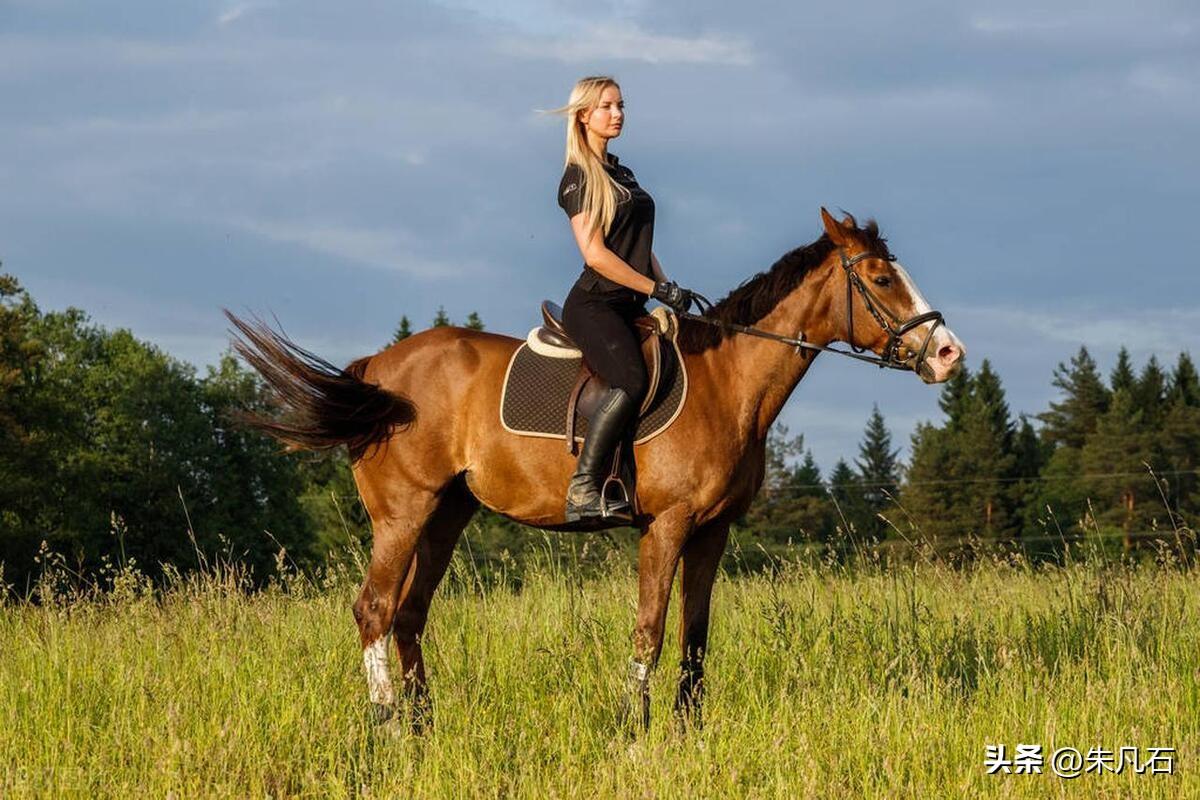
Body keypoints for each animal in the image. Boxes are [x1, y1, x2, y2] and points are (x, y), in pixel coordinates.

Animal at [226, 209, 964, 734]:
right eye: (880, 279)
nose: (948, 354)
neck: (727, 381)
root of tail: (377, 370)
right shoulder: (666, 525)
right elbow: (652, 630)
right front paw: (634, 733)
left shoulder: (713, 531)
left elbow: (696, 637)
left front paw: (687, 734)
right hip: (403, 513)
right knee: (375, 609)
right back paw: (387, 727)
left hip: (446, 515)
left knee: (409, 615)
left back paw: (425, 727)